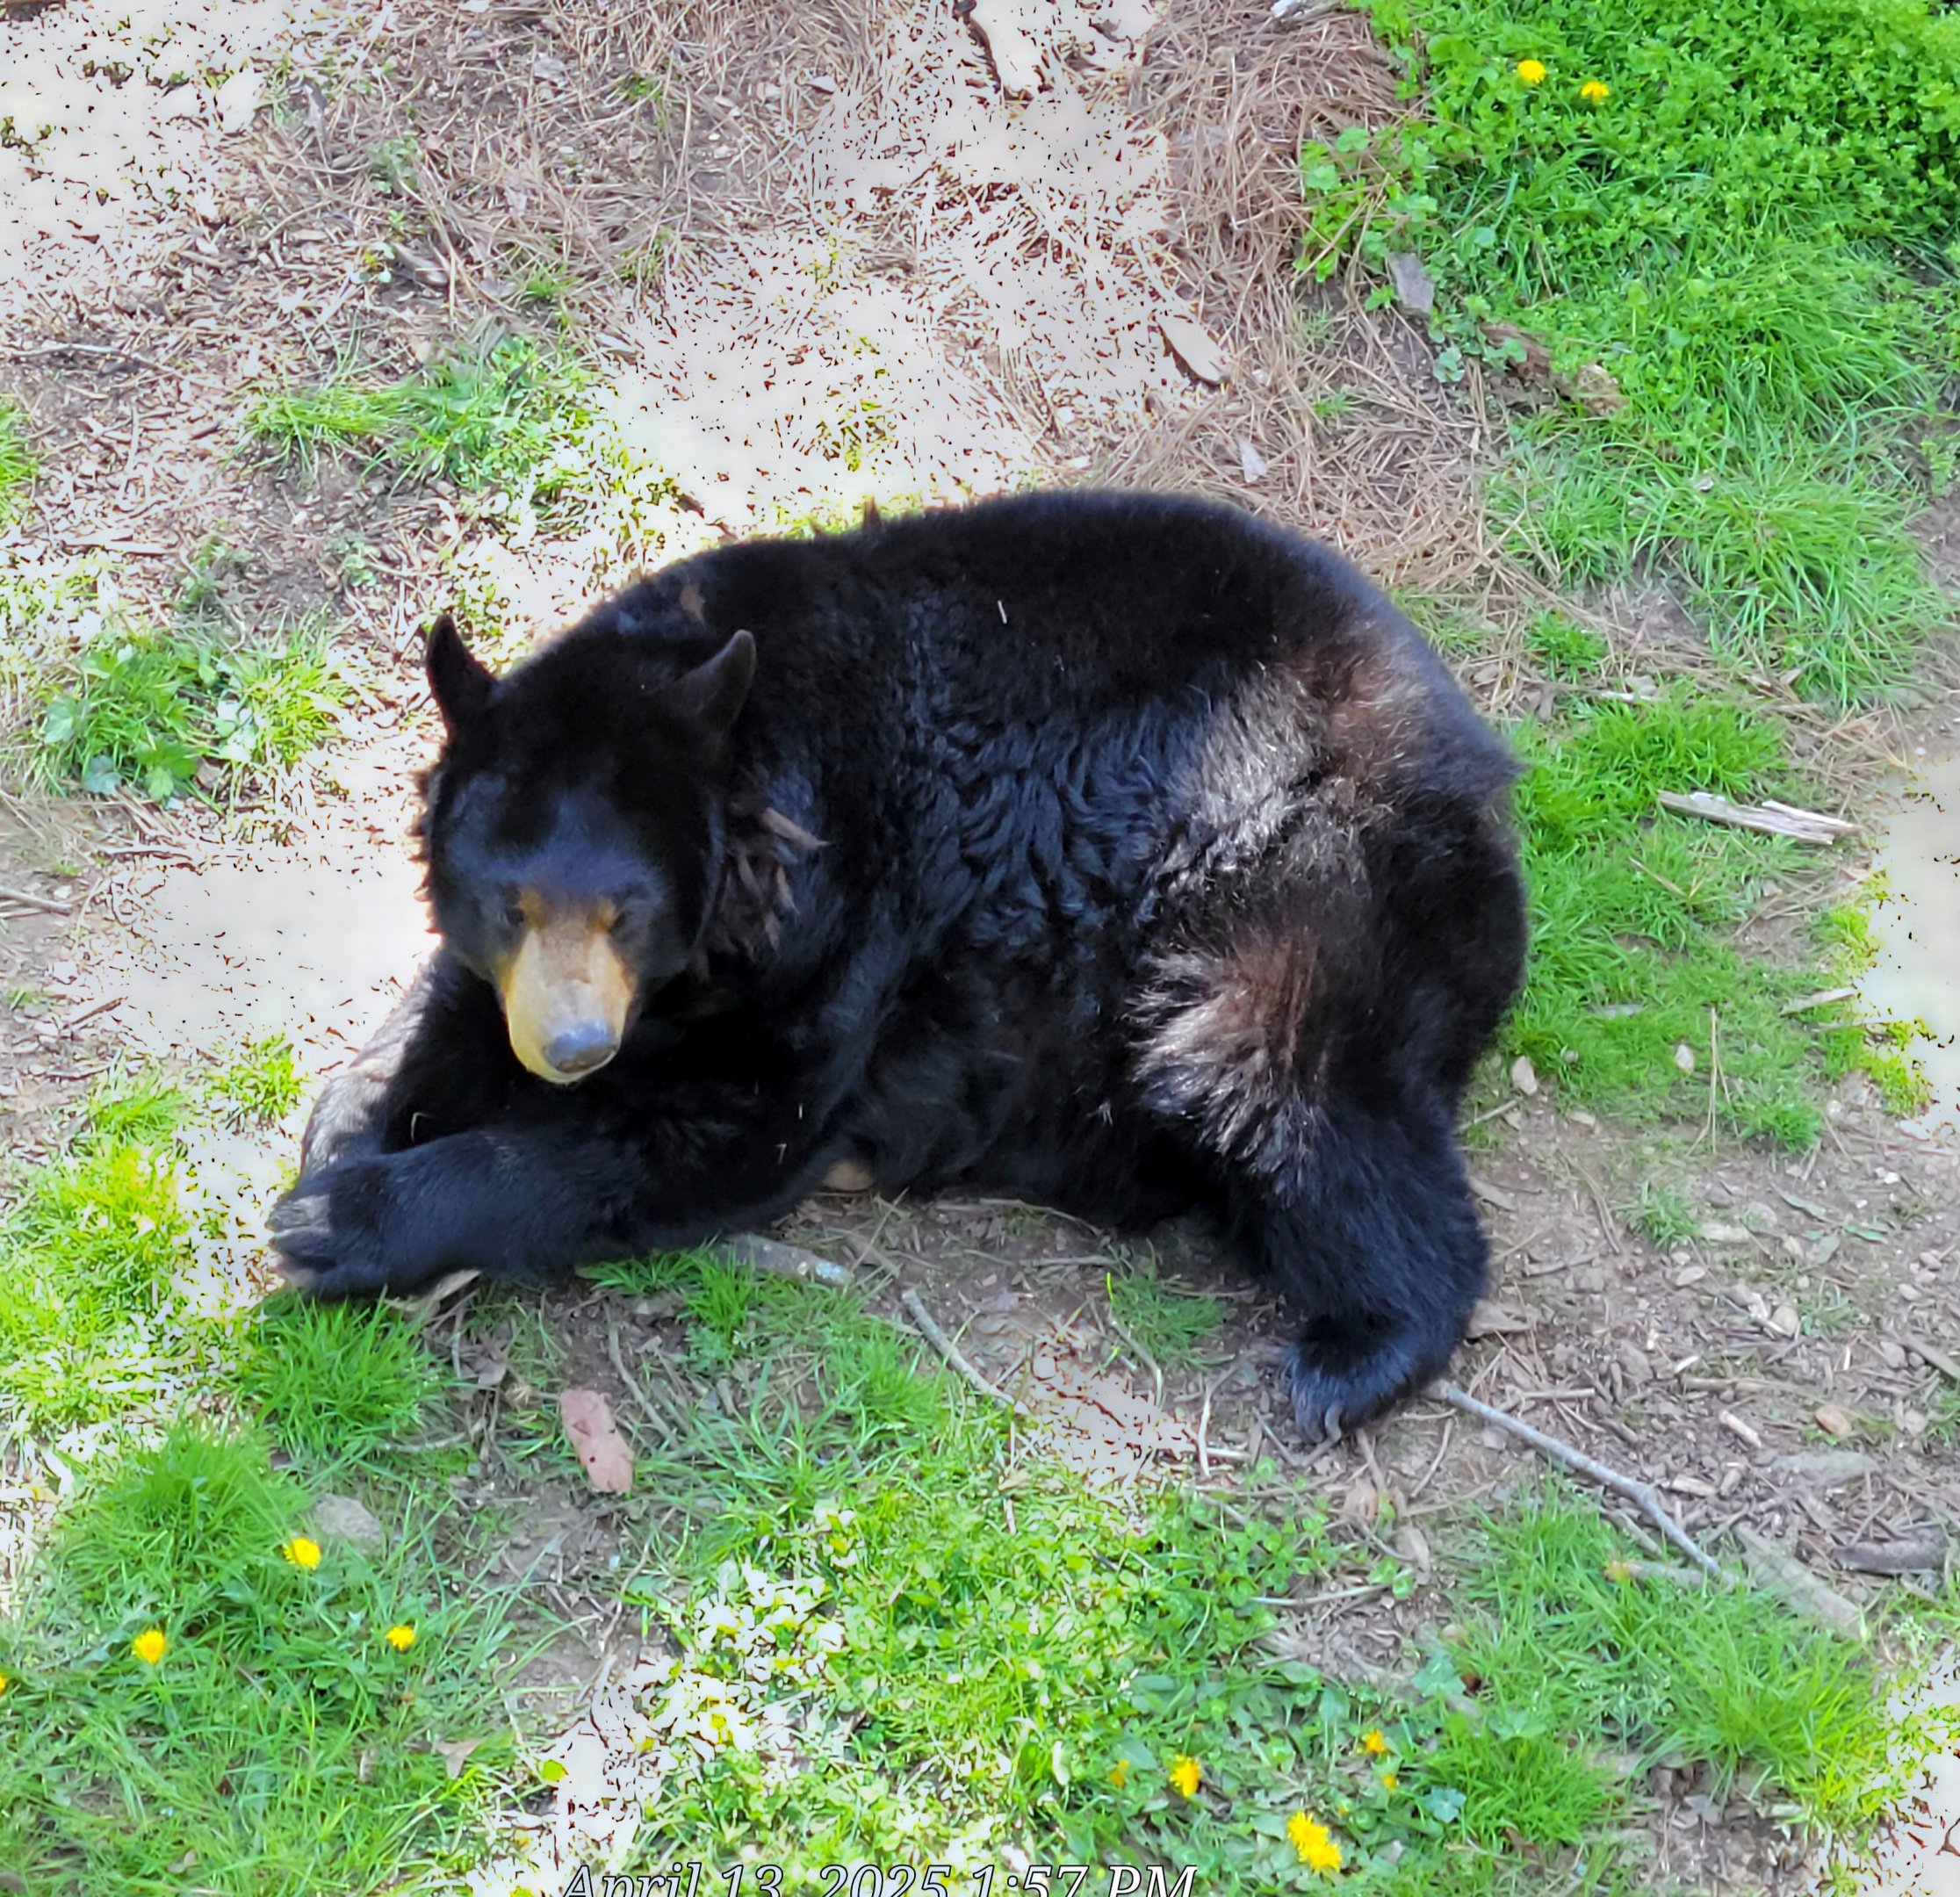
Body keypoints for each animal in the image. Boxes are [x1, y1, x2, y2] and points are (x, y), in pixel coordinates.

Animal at [270, 487, 1527, 1440]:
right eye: (512, 904)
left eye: (627, 912)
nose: (574, 1049)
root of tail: (1479, 776)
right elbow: (454, 1013)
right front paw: (349, 1121)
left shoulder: (845, 927)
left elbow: (709, 1134)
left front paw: (340, 1221)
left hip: (1301, 881)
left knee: (1286, 1082)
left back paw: (1356, 1353)